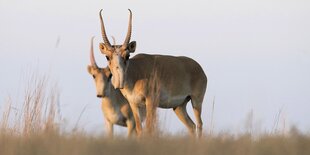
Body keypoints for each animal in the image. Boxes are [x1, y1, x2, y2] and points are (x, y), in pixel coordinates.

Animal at [98, 9, 207, 137]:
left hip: (196, 101)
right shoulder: (134, 104)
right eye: (107, 57)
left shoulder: (150, 102)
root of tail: (199, 68)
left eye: (127, 55)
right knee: (192, 126)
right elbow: (139, 129)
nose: (119, 82)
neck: (135, 72)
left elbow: (149, 129)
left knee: (199, 124)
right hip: (179, 107)